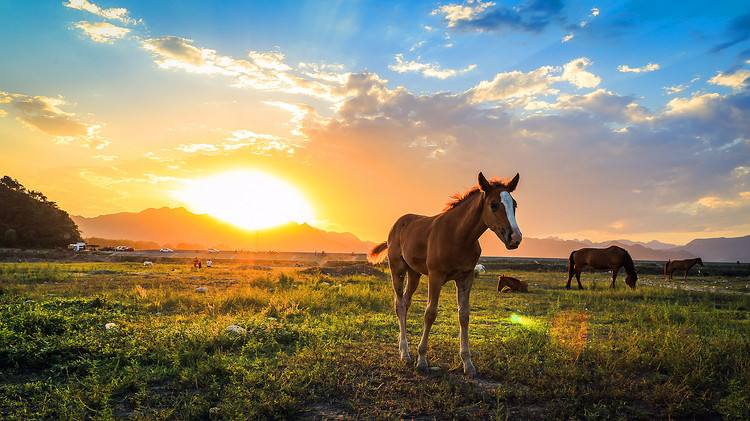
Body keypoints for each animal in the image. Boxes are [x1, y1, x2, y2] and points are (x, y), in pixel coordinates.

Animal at [368, 172, 524, 376]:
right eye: (494, 204)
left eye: (514, 205)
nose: (515, 238)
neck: (458, 236)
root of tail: (398, 224)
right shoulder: (436, 276)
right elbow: (430, 313)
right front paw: (422, 360)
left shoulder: (466, 278)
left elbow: (464, 315)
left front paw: (468, 364)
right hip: (398, 270)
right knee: (399, 305)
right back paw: (405, 353)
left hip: (414, 274)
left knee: (406, 302)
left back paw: (404, 349)